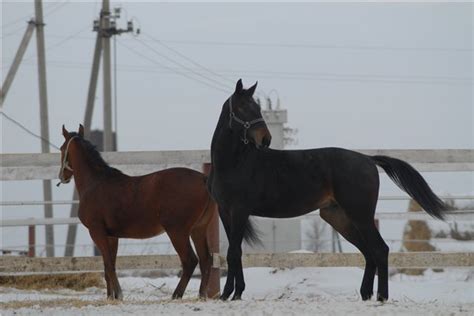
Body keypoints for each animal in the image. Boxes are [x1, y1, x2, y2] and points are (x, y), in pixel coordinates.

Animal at [57, 124, 218, 300]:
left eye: (61, 149)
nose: (62, 176)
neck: (95, 183)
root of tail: (203, 178)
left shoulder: (97, 232)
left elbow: (108, 265)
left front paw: (119, 294)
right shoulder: (111, 236)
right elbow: (108, 266)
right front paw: (111, 297)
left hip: (177, 232)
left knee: (190, 260)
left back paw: (176, 295)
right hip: (198, 230)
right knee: (205, 260)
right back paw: (202, 295)